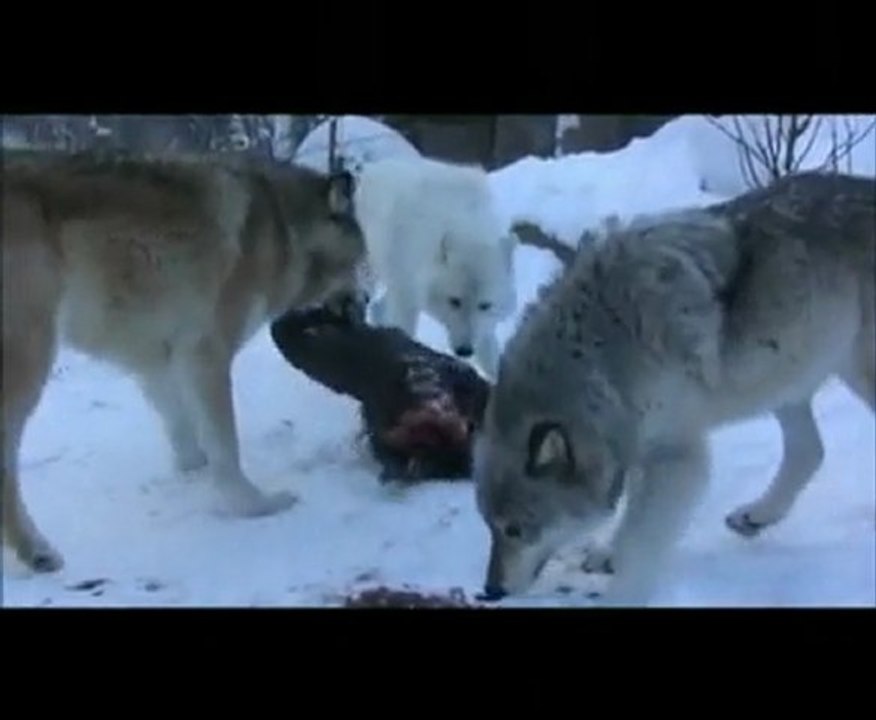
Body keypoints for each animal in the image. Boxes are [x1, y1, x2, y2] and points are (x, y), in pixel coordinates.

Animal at [2, 149, 365, 573]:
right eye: (362, 264)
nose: (363, 306)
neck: (283, 231)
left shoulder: (158, 360)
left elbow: (184, 430)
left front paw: (193, 473)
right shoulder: (205, 354)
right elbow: (225, 445)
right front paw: (252, 505)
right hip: (32, 362)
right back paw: (37, 551)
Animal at [352, 156, 517, 378]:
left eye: (484, 305)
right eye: (454, 301)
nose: (465, 351)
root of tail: (373, 167)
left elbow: (489, 349)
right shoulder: (406, 294)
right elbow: (405, 333)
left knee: (378, 308)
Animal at [472, 171, 875, 606]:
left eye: (515, 529)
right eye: (489, 526)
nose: (490, 591)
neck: (602, 356)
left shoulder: (678, 457)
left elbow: (640, 541)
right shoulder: (638, 444)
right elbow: (631, 517)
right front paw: (609, 553)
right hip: (787, 379)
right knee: (810, 451)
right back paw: (755, 516)